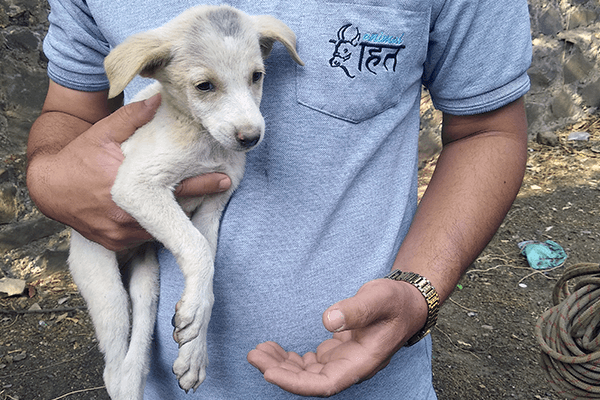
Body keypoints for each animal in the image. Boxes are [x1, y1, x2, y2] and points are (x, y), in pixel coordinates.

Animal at [68, 4, 302, 398]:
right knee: (112, 367)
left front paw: (194, 349)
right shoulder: (136, 185)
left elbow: (206, 257)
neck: (203, 141)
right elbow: (197, 249)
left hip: (148, 280)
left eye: (256, 76)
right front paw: (195, 315)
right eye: (204, 86)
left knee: (136, 353)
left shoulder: (213, 203)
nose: (250, 137)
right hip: (104, 285)